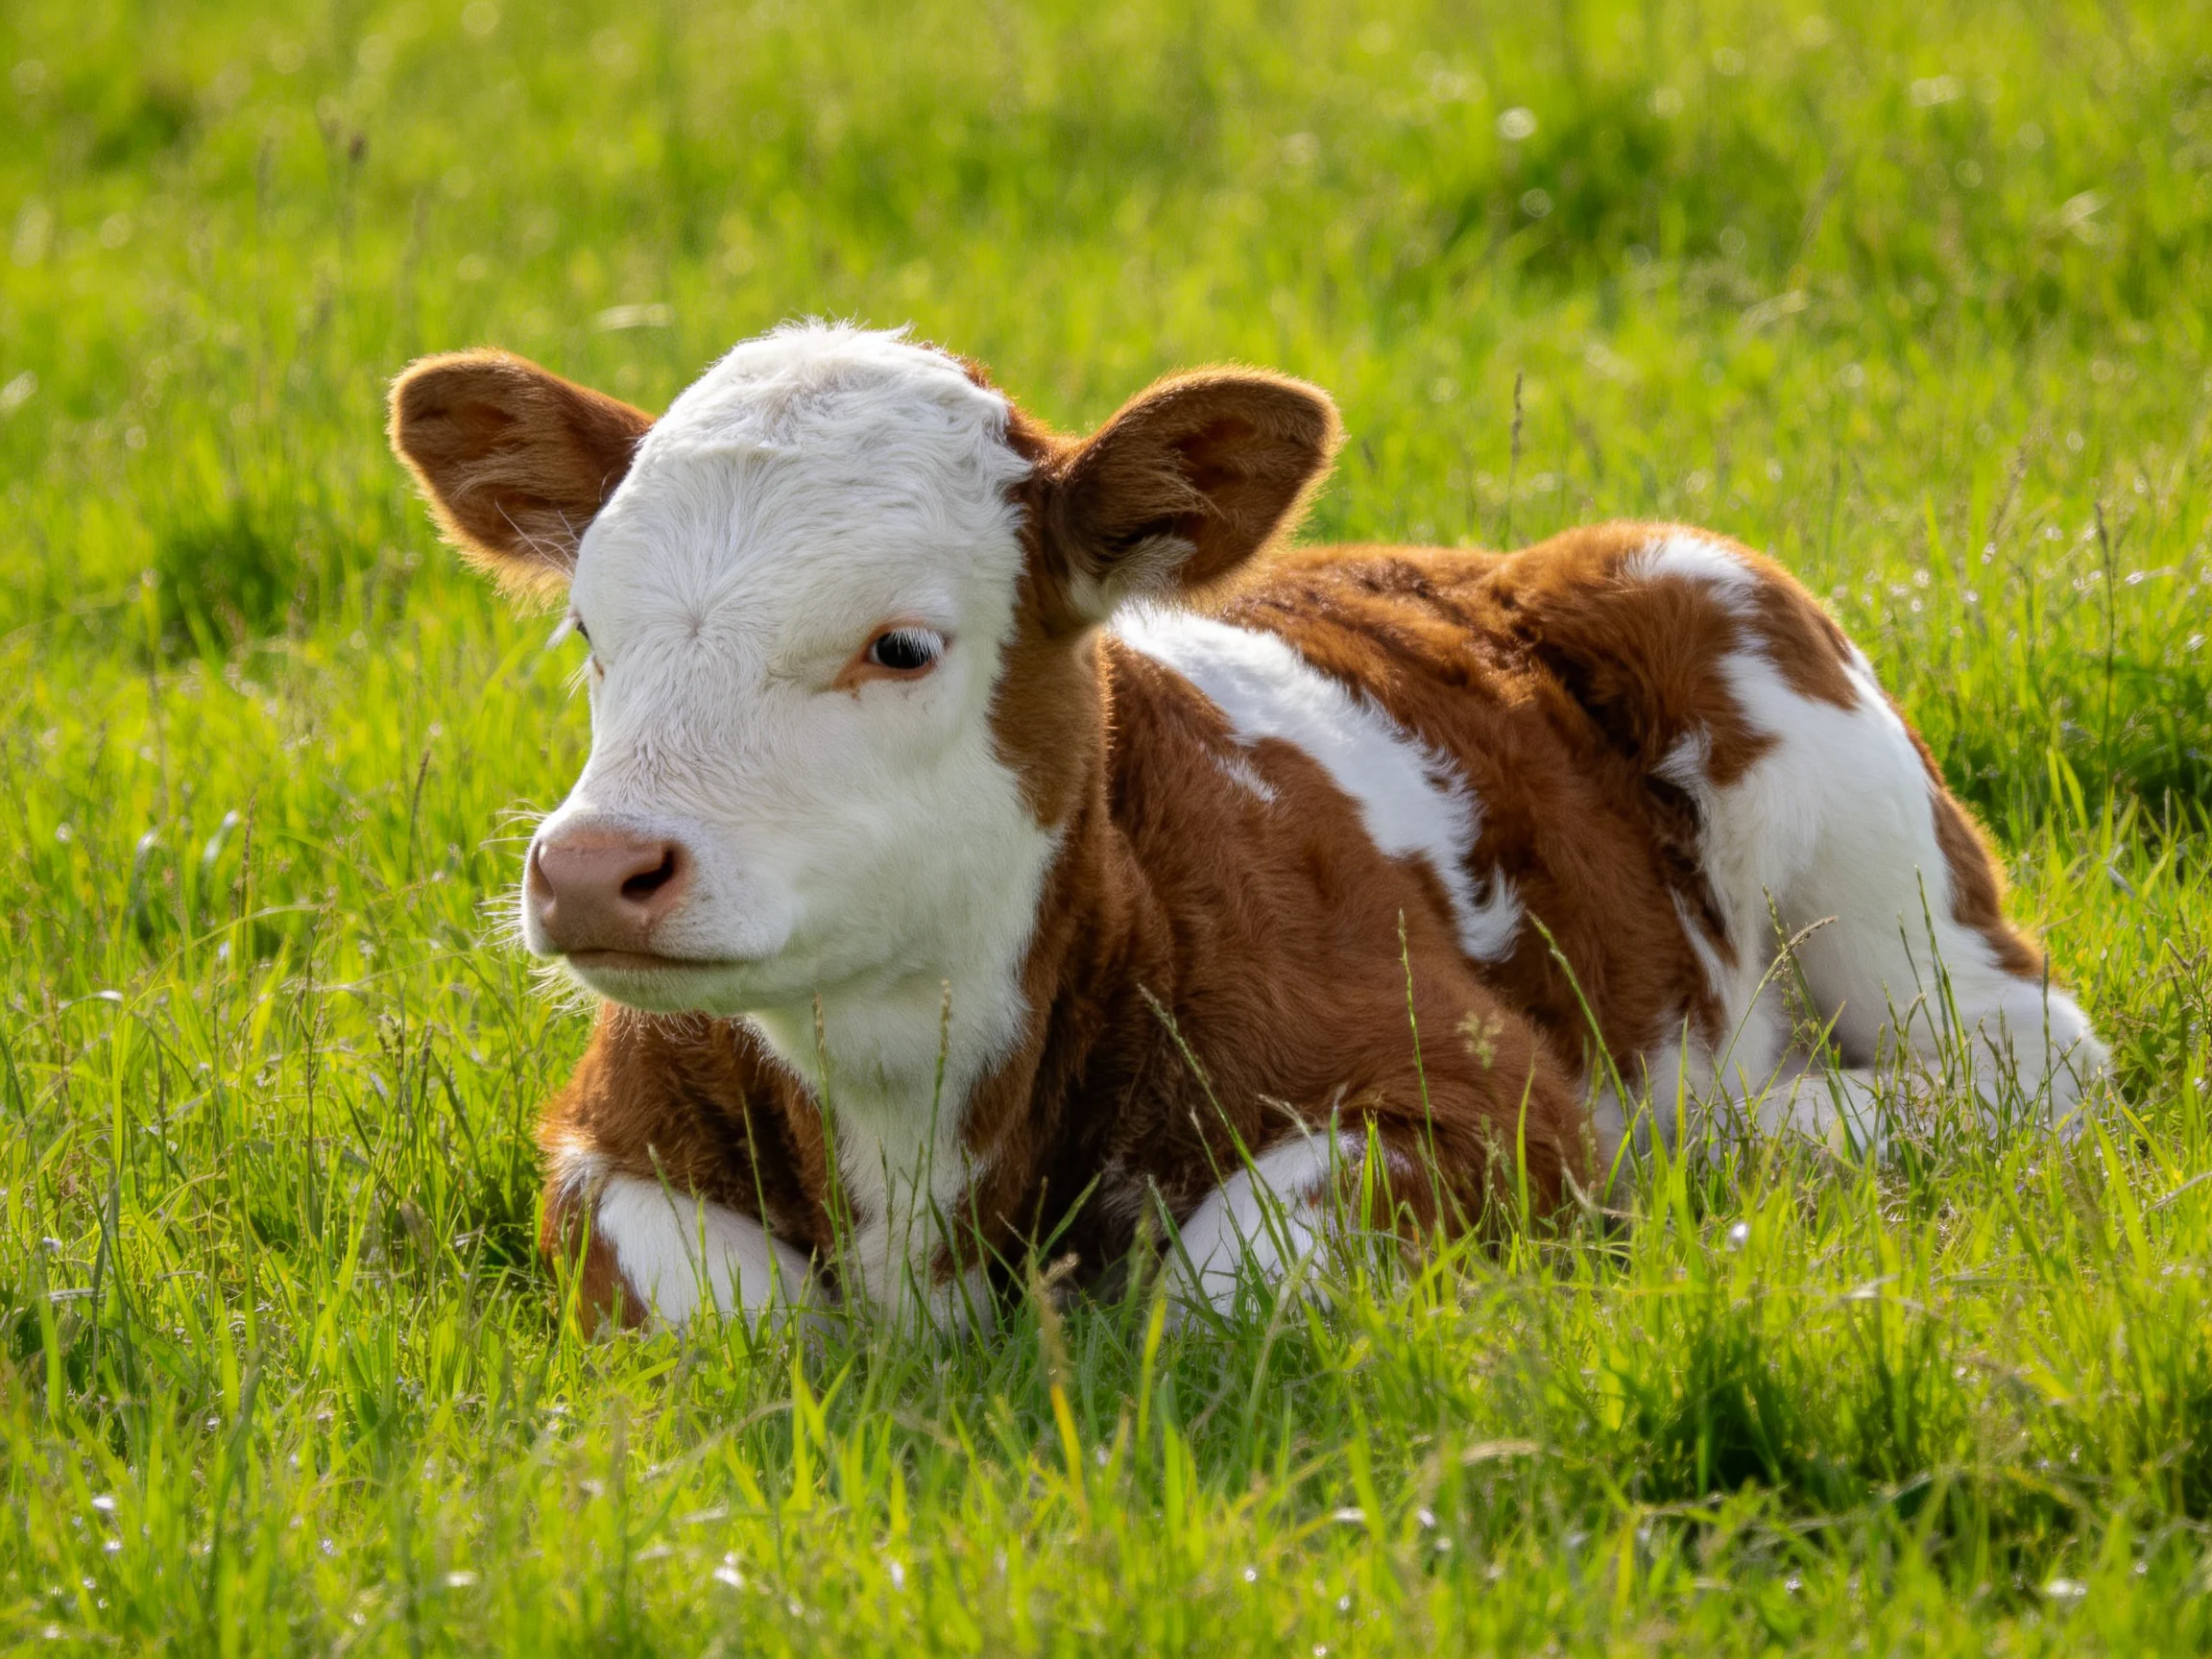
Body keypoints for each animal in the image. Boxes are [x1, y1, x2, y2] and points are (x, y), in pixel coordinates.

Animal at [387, 322, 2106, 1332]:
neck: (912, 1121)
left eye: (902, 645)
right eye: (593, 632)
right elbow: (724, 1323)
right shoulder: (597, 1148)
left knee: (2024, 1066)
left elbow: (1230, 1283)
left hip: (1804, 738)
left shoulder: (1478, 1103)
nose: (596, 871)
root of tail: (1477, 558)